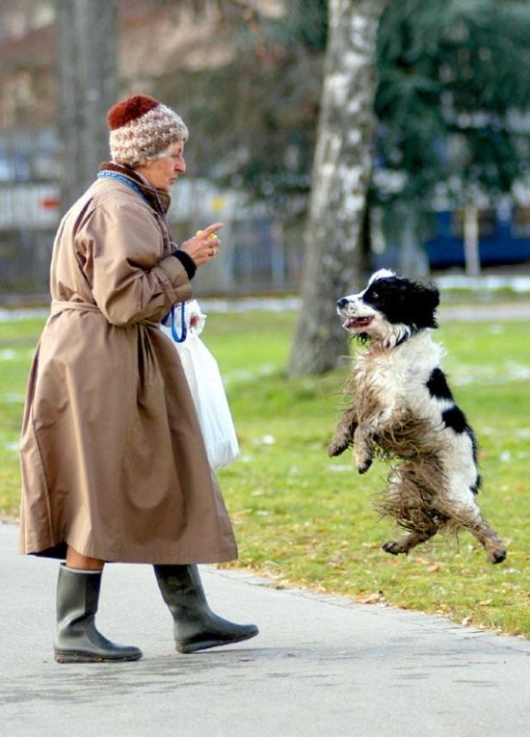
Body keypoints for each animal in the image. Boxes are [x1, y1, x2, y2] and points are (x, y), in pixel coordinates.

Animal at [328, 270, 506, 564]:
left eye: (375, 295)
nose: (340, 301)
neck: (393, 344)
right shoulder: (369, 394)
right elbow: (349, 418)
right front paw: (337, 443)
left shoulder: (397, 407)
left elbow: (364, 427)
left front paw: (361, 458)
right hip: (404, 484)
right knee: (428, 526)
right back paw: (398, 545)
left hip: (454, 492)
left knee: (475, 520)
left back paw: (497, 551)